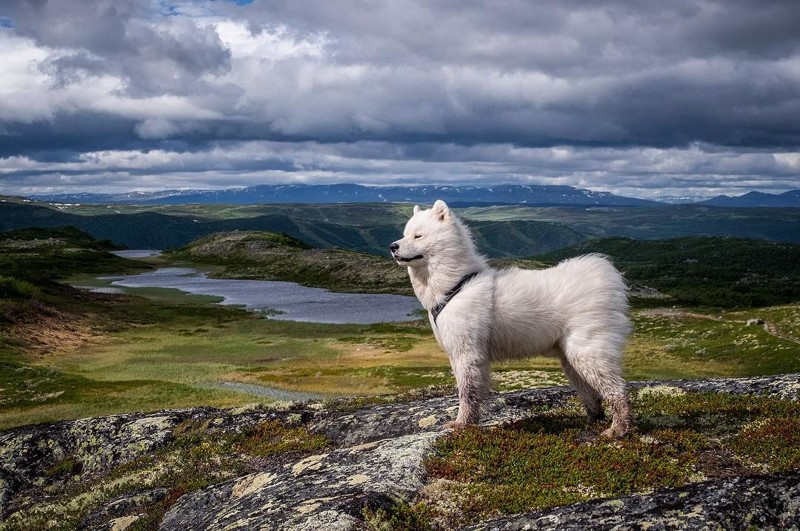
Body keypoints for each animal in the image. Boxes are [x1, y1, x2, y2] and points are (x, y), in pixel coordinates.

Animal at [390, 202, 636, 438]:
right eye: (405, 234)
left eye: (418, 236)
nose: (393, 246)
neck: (455, 286)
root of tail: (603, 274)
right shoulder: (465, 355)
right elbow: (475, 392)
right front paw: (471, 421)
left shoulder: (466, 352)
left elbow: (466, 393)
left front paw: (461, 424)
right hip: (571, 359)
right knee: (591, 395)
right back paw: (592, 421)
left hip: (587, 352)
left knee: (617, 391)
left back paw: (617, 430)